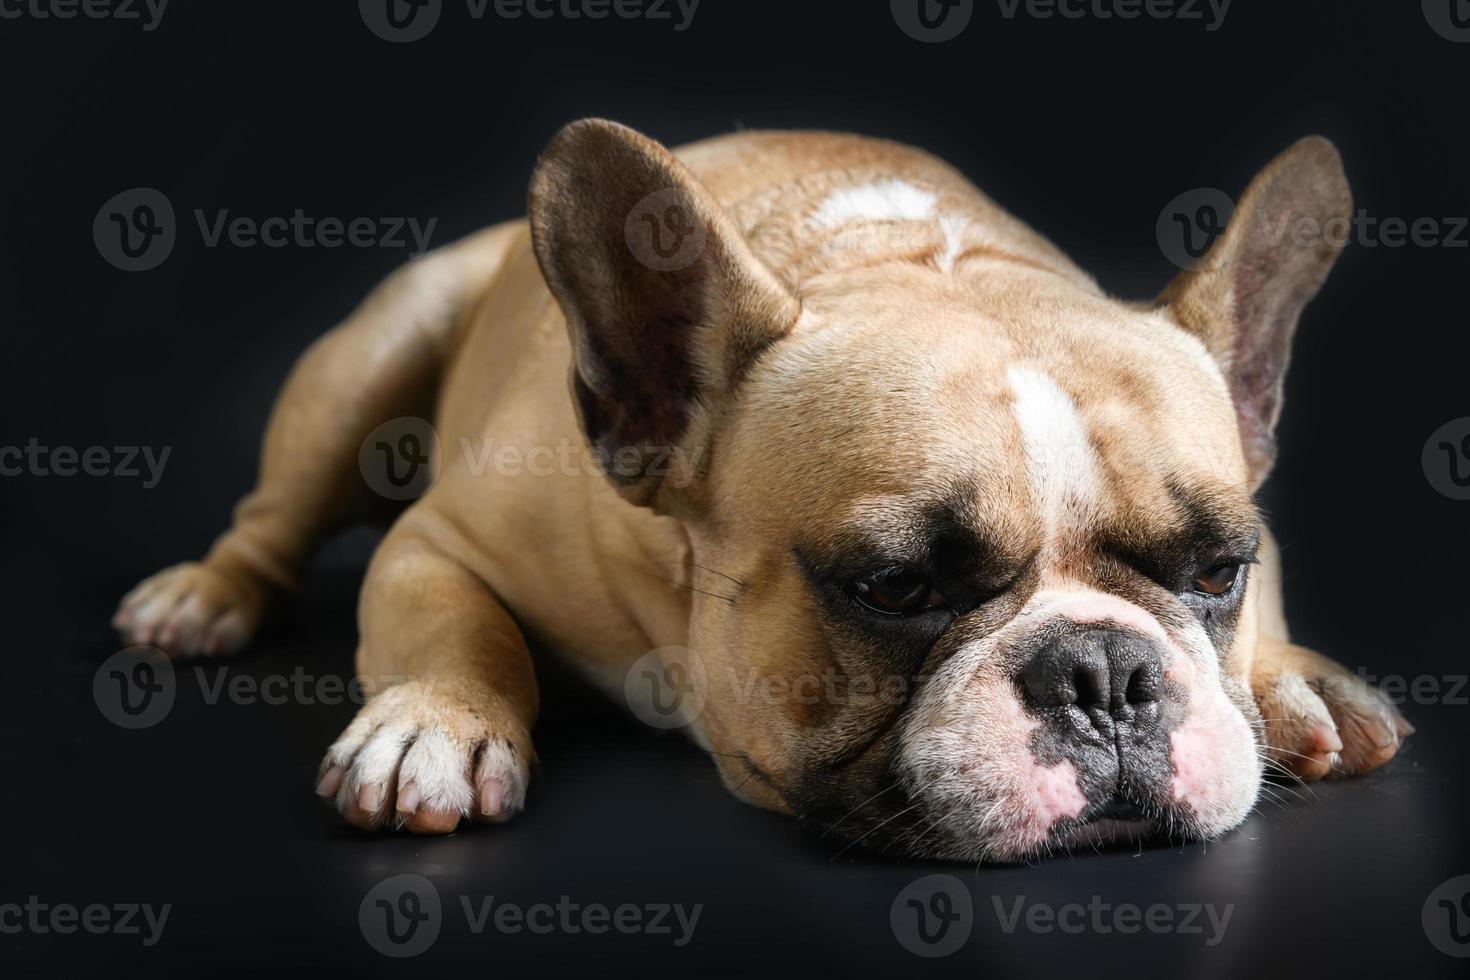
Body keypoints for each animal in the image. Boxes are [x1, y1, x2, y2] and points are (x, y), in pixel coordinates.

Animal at [111, 120, 1411, 858]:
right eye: (895, 587)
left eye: (1219, 570)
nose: (1105, 673)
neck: (899, 259)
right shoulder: (443, 535)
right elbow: (454, 622)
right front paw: (436, 720)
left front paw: (1292, 677)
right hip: (375, 350)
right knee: (271, 519)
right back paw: (202, 596)